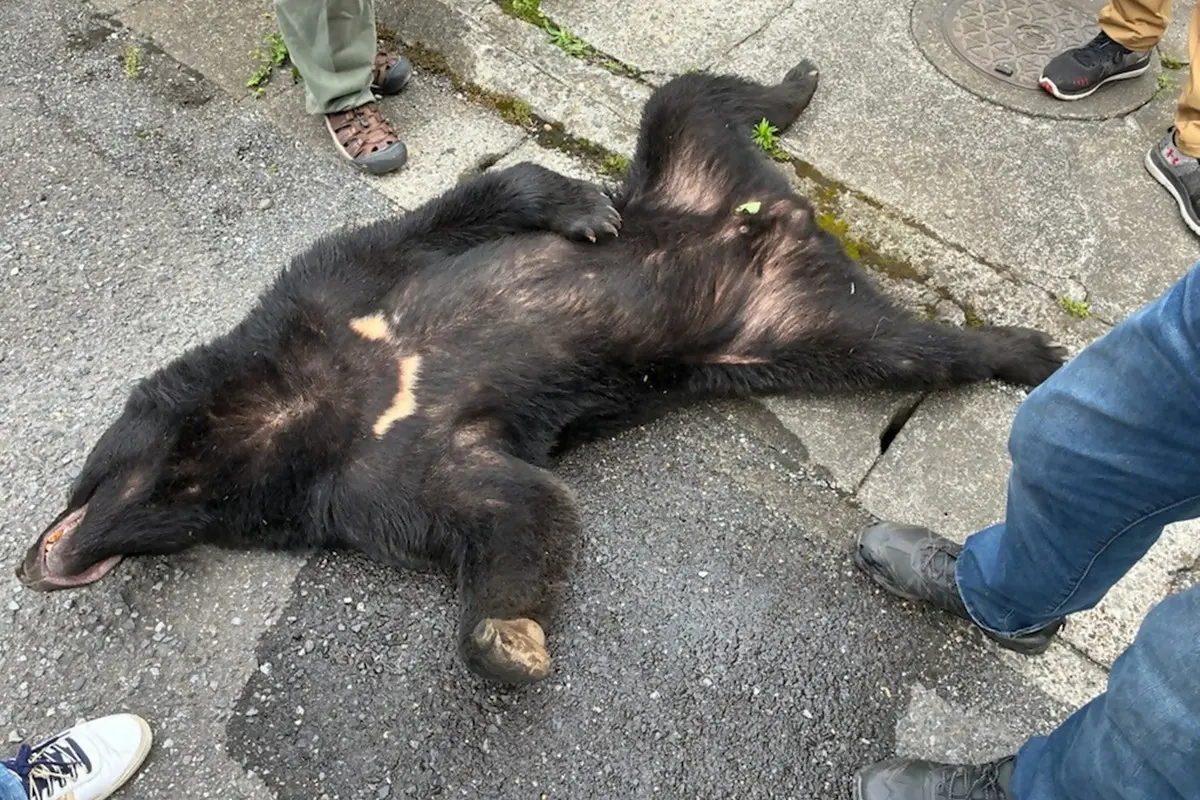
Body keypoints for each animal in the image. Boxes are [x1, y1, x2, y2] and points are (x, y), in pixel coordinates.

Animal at [15, 59, 1065, 685]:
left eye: (87, 473)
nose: (39, 563)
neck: (297, 410)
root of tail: (779, 216)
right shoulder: (365, 481)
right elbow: (514, 507)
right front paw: (508, 642)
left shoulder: (334, 289)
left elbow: (465, 207)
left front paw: (582, 213)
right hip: (791, 329)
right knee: (903, 344)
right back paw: (1018, 348)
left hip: (683, 171)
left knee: (689, 94)